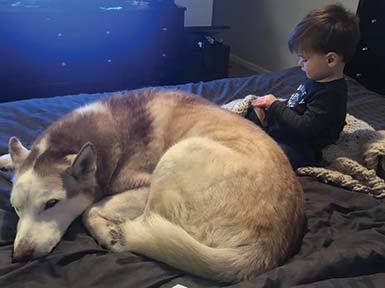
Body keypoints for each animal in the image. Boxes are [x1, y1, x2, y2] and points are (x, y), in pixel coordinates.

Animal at [0, 90, 304, 284]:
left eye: (51, 203)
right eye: (15, 208)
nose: (19, 256)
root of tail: (268, 247)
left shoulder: (143, 186)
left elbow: (90, 209)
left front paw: (107, 231)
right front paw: (7, 158)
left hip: (178, 155)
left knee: (147, 225)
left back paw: (119, 234)